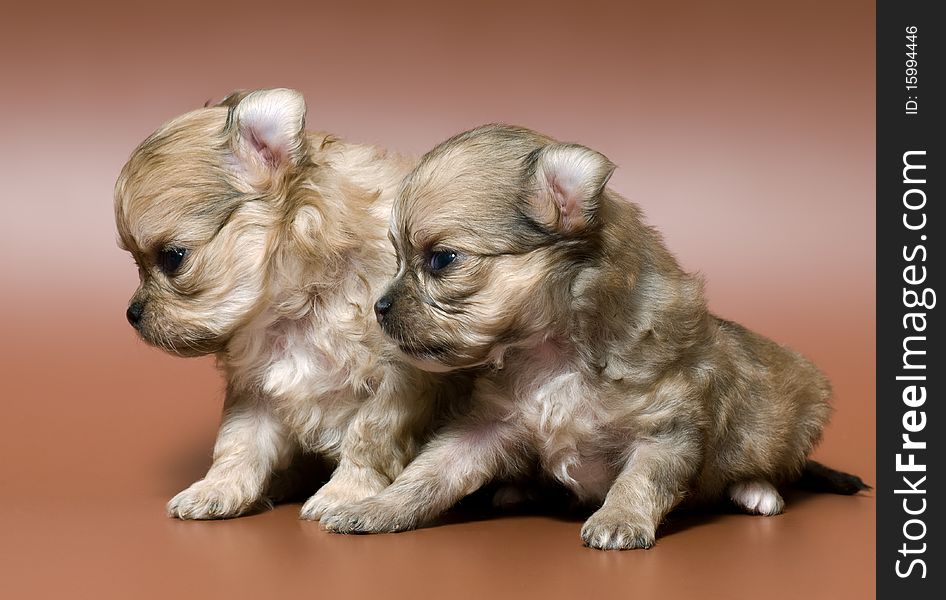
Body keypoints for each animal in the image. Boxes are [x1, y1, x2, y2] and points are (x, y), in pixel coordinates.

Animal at [114, 88, 446, 520]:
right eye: (136, 263)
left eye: (172, 258)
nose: (131, 314)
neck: (297, 302)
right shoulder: (254, 386)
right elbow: (238, 441)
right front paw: (217, 489)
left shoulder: (398, 379)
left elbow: (369, 438)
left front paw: (346, 493)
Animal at [320, 124, 868, 552]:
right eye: (395, 258)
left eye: (440, 260)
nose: (379, 307)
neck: (551, 353)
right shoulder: (485, 427)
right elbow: (429, 473)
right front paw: (377, 506)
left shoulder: (668, 429)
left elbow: (642, 478)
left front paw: (619, 518)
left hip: (793, 416)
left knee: (773, 464)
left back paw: (758, 491)